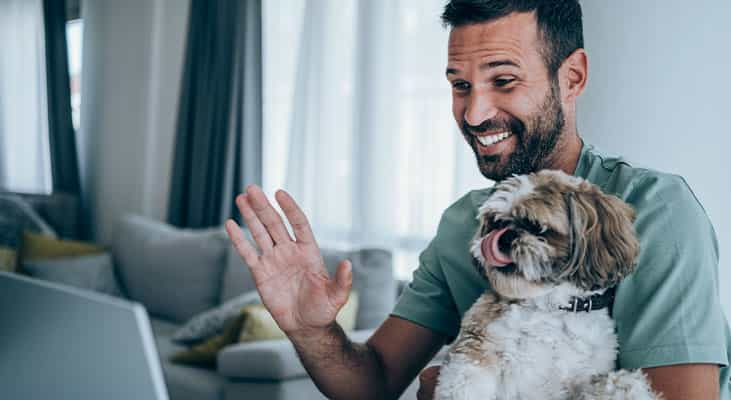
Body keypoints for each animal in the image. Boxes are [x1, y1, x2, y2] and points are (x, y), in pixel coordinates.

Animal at [438, 170, 660, 400]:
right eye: (496, 223)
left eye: (537, 227)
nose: (506, 235)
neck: (551, 306)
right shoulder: (477, 348)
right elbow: (464, 383)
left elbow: (615, 384)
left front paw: (628, 387)